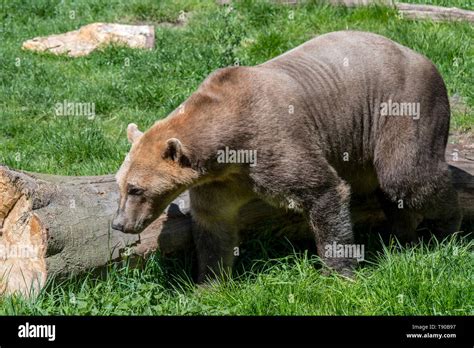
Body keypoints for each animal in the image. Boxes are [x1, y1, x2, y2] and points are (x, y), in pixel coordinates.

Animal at [113, 29, 462, 280]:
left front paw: (338, 272)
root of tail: (422, 57)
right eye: (120, 185)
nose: (119, 223)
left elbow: (323, 190)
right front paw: (210, 282)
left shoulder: (273, 143)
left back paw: (448, 229)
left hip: (402, 106)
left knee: (407, 177)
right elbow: (214, 225)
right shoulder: (221, 181)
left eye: (136, 189)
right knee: (393, 192)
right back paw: (400, 235)